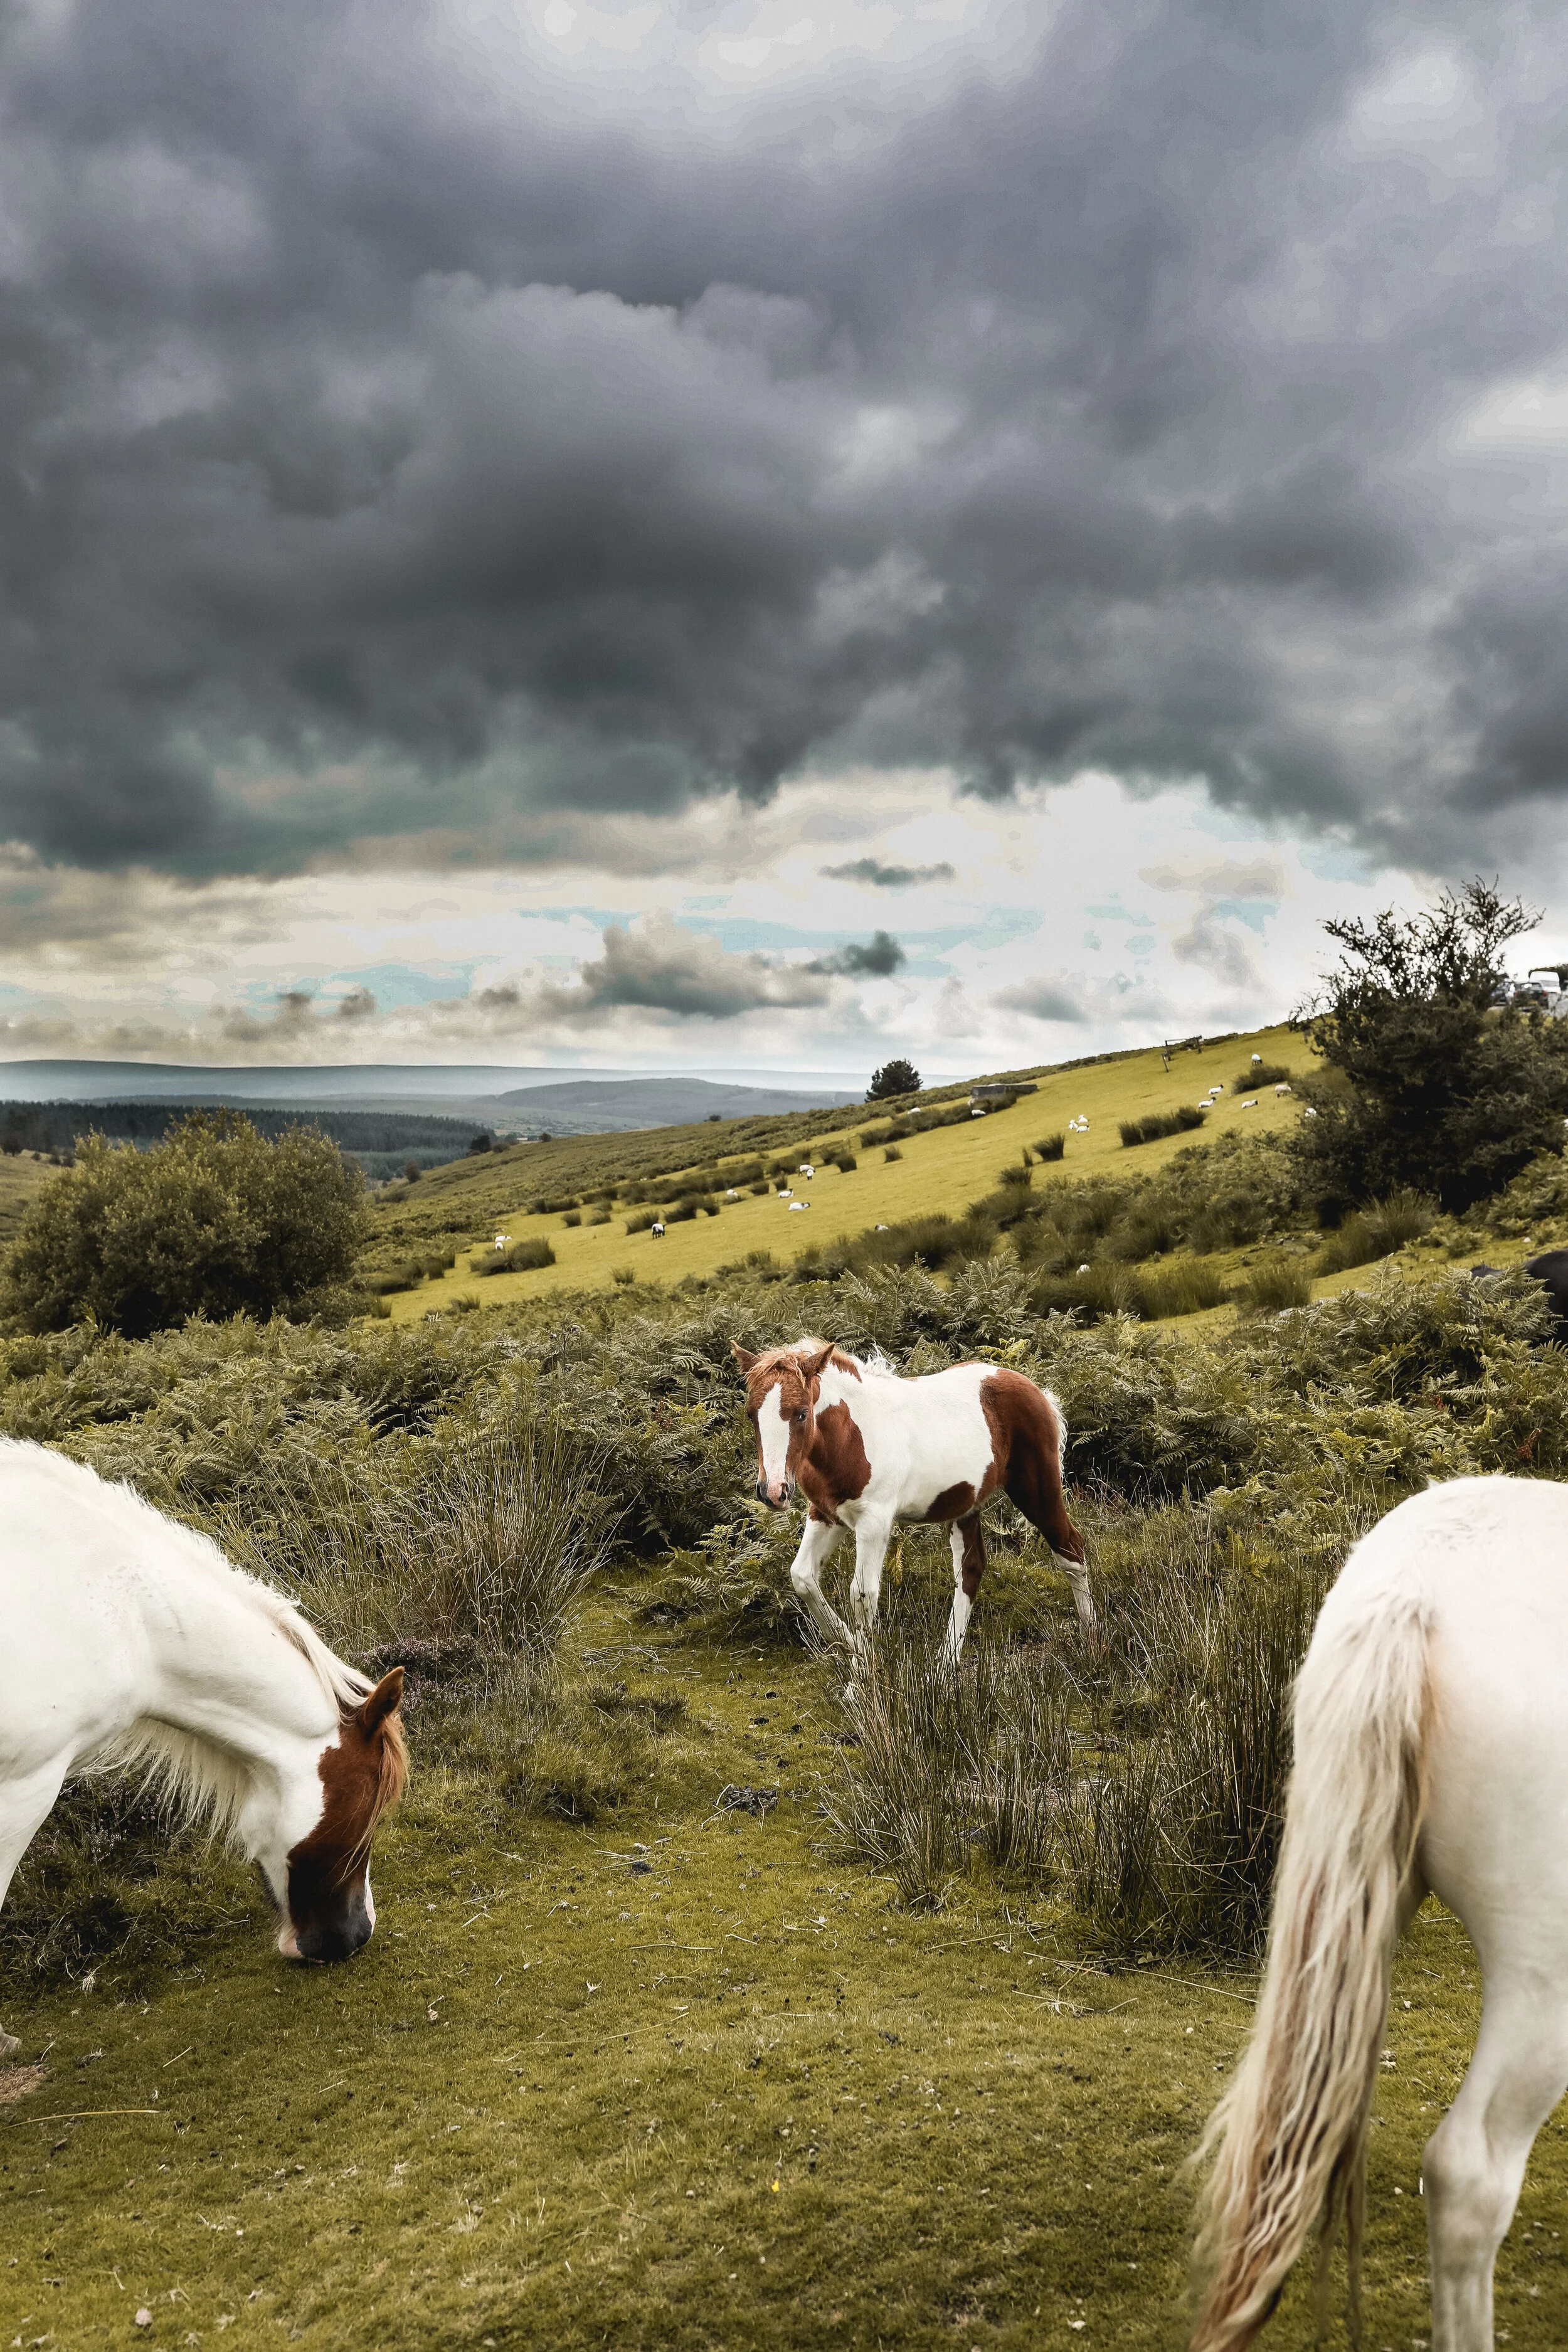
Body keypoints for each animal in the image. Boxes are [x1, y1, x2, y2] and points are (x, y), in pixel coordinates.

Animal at [731, 1338, 1094, 1661]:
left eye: (802, 1414)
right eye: (751, 1414)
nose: (773, 1491)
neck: (850, 1435)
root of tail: (1035, 1389)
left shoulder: (874, 1522)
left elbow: (862, 1594)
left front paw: (863, 1677)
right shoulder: (826, 1513)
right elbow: (803, 1577)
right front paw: (847, 1645)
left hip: (1036, 1488)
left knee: (1070, 1549)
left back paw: (1092, 1639)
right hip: (965, 1504)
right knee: (971, 1569)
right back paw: (946, 1666)